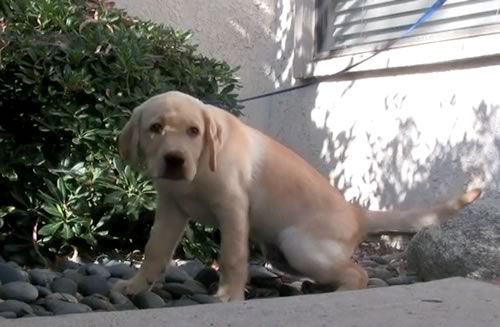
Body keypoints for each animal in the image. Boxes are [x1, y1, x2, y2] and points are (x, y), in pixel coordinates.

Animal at [113, 90, 480, 302]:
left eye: (194, 131)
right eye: (155, 129)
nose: (174, 160)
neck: (201, 165)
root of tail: (355, 212)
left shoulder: (233, 208)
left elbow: (232, 256)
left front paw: (228, 295)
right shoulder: (170, 209)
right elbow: (154, 249)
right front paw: (136, 286)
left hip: (298, 244)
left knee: (358, 273)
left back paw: (339, 291)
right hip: (280, 255)